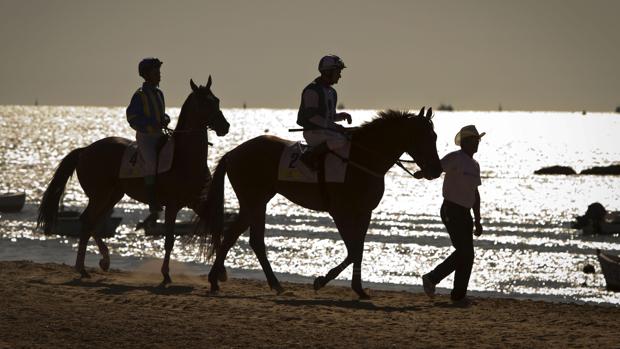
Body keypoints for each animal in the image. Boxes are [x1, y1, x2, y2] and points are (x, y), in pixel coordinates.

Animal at [37, 77, 230, 286]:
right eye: (204, 103)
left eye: (216, 100)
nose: (225, 126)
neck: (185, 157)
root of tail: (85, 150)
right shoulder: (172, 206)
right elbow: (169, 240)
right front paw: (165, 275)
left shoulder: (196, 202)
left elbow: (216, 229)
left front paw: (221, 273)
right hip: (99, 196)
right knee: (87, 221)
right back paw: (84, 267)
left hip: (112, 196)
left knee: (92, 223)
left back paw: (101, 262)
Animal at [199, 107, 440, 298]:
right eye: (425, 137)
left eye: (435, 136)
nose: (436, 171)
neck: (362, 158)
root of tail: (233, 152)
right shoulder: (340, 212)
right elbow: (353, 250)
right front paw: (322, 280)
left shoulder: (364, 212)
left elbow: (359, 249)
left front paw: (359, 289)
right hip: (253, 200)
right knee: (239, 237)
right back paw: (219, 281)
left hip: (258, 202)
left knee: (246, 238)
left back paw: (266, 284)